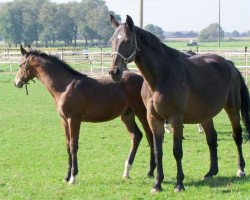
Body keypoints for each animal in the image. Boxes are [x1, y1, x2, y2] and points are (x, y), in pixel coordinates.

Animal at [13, 45, 155, 184]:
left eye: (20, 65)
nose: (16, 82)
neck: (65, 86)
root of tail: (143, 79)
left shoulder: (74, 120)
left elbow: (73, 146)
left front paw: (73, 177)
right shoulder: (64, 120)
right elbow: (67, 145)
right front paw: (66, 176)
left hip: (142, 113)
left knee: (149, 135)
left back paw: (150, 171)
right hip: (127, 115)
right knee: (136, 136)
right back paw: (127, 171)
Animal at [108, 14, 250, 193]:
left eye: (127, 40)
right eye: (112, 40)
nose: (114, 72)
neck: (162, 76)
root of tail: (230, 65)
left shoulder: (176, 118)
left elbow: (177, 151)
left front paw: (179, 184)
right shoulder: (154, 118)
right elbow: (158, 151)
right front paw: (157, 184)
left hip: (233, 108)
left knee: (237, 136)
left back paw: (241, 170)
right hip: (205, 114)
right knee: (211, 139)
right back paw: (211, 172)